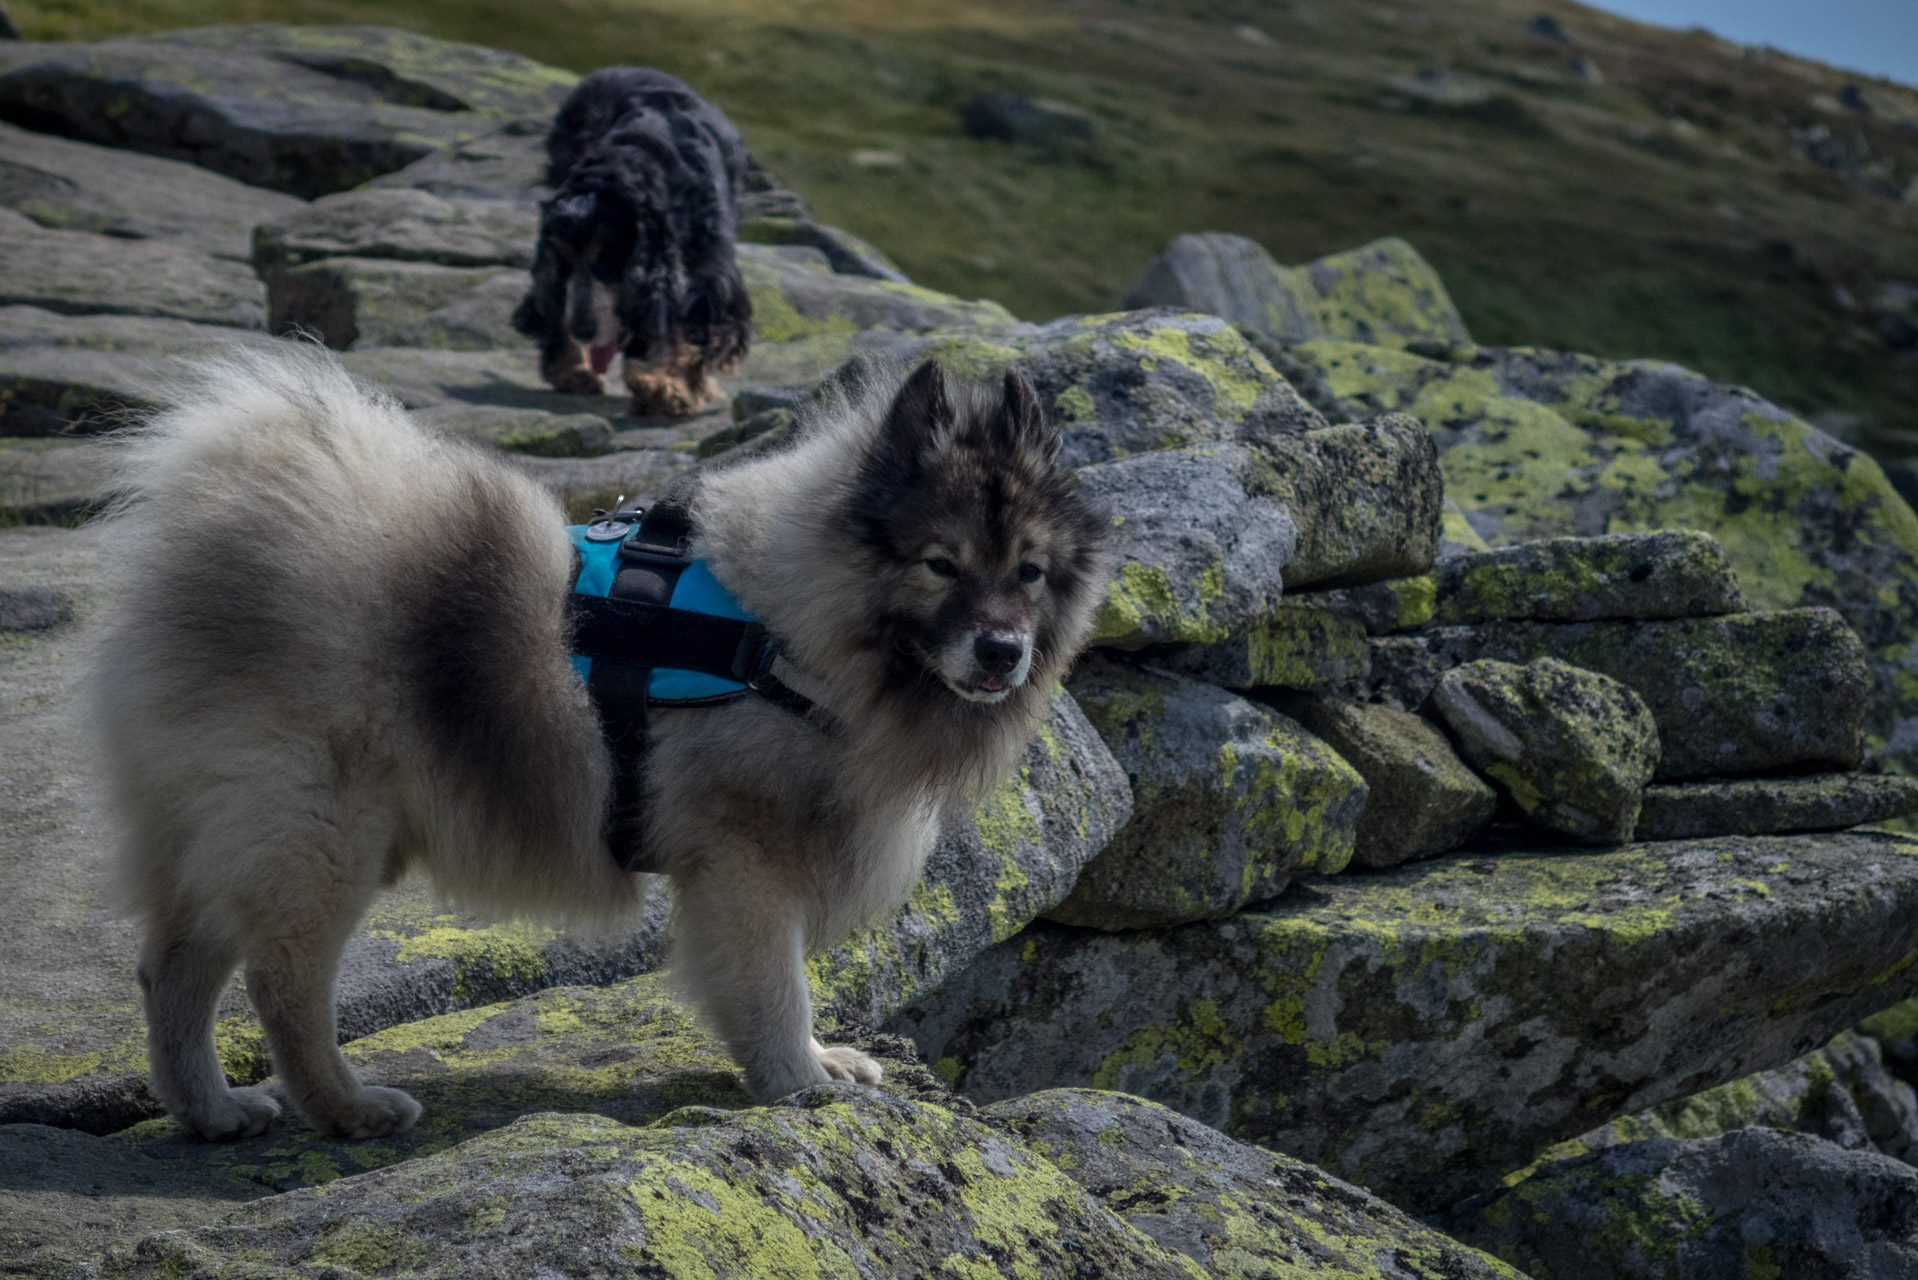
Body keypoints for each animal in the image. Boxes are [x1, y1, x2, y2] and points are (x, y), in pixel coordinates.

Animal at [90, 347, 1112, 1143]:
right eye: (940, 564)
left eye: (1030, 572)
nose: (1003, 650)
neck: (788, 629)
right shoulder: (744, 861)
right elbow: (775, 985)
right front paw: (798, 1082)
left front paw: (822, 1064)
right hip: (322, 836)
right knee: (281, 982)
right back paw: (347, 1109)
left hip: (231, 834)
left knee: (172, 967)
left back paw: (212, 1111)